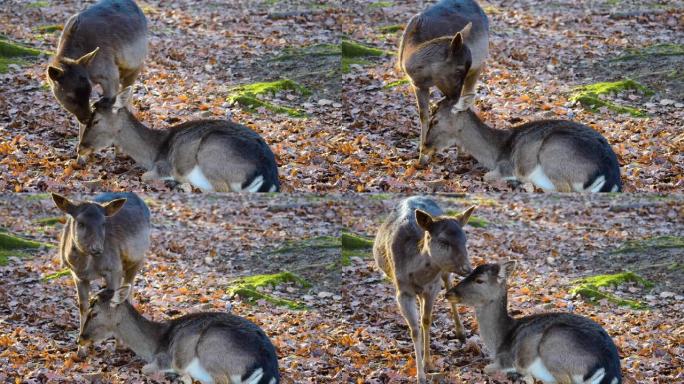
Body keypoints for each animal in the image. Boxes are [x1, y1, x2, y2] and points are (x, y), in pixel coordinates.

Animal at [79, 88, 280, 194]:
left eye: (95, 120)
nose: (81, 148)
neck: (154, 152)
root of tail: (267, 175)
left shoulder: (164, 166)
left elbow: (145, 176)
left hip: (212, 152)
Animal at [374, 196, 476, 382]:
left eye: (465, 240)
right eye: (443, 241)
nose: (468, 269)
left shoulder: (432, 288)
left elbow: (426, 321)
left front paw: (428, 363)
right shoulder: (403, 291)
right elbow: (414, 329)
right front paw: (420, 376)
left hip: (444, 272)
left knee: (448, 284)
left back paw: (461, 332)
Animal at [398, 0, 488, 164]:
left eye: (466, 67)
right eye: (459, 69)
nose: (455, 98)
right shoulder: (417, 84)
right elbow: (424, 115)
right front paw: (422, 158)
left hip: (480, 64)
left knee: (470, 97)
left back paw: (463, 152)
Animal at [446, 260, 624, 384]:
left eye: (479, 280)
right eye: (470, 273)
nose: (449, 293)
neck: (498, 342)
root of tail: (609, 368)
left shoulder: (506, 360)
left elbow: (487, 368)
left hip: (554, 344)